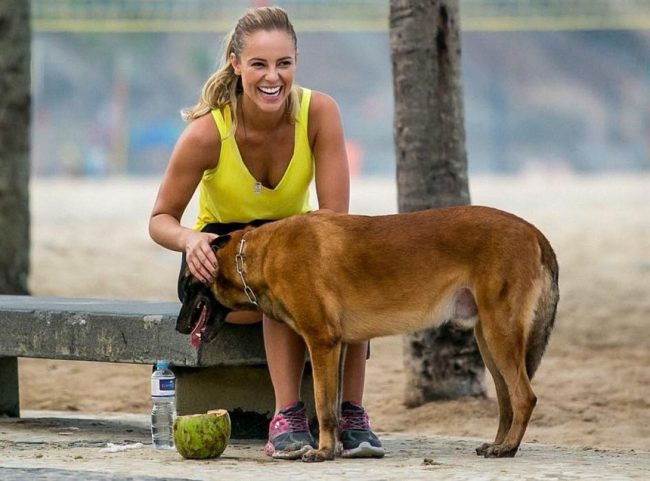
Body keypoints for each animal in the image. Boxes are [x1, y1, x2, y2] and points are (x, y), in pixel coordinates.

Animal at [177, 205, 556, 462]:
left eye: (188, 287)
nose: (180, 327)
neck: (258, 254)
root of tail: (532, 230)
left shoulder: (322, 342)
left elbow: (324, 406)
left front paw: (323, 452)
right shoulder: (337, 347)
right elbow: (331, 405)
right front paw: (333, 449)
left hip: (499, 335)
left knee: (524, 396)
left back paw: (508, 447)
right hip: (488, 340)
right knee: (507, 400)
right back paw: (499, 443)